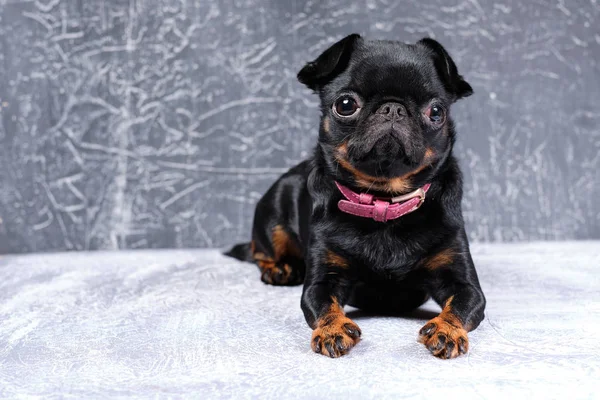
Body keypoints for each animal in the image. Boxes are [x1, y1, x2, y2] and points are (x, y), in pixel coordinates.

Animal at [227, 34, 486, 360]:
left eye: (436, 112)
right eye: (346, 104)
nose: (393, 108)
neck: (383, 200)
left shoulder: (464, 284)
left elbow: (462, 306)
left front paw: (446, 330)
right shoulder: (322, 281)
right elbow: (323, 305)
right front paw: (333, 329)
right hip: (274, 209)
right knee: (259, 251)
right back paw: (280, 269)